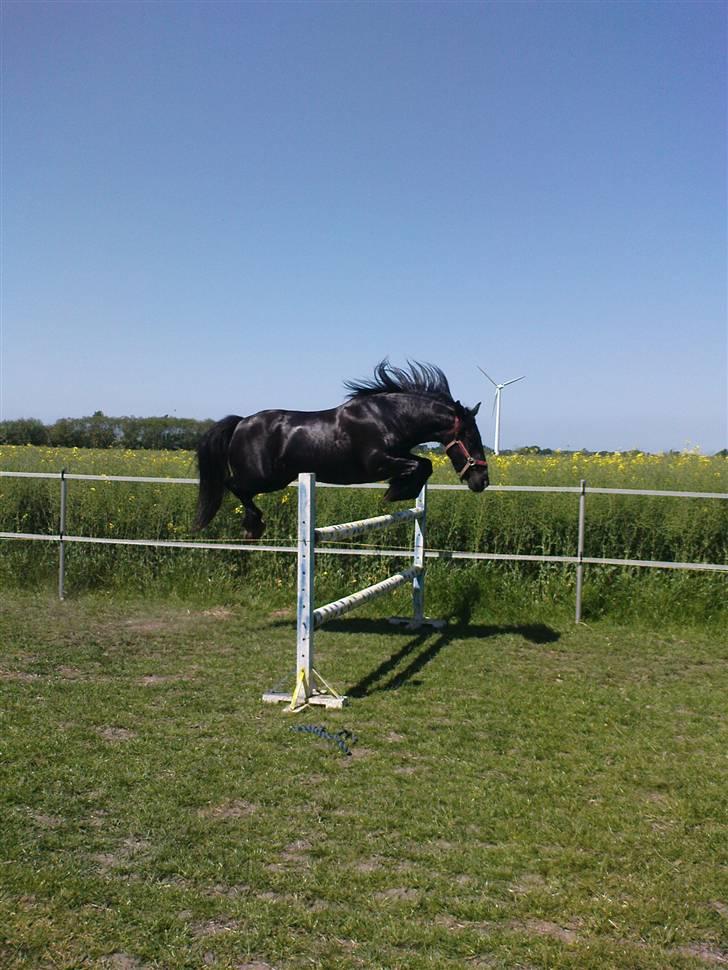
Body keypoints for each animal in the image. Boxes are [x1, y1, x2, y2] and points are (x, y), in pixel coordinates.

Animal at [194, 360, 489, 539]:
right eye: (470, 438)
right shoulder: (376, 463)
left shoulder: (396, 456)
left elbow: (423, 464)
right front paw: (395, 492)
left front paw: (400, 489)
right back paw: (253, 527)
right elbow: (420, 465)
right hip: (265, 478)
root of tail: (241, 422)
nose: (482, 482)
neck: (389, 417)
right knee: (233, 485)